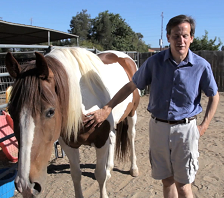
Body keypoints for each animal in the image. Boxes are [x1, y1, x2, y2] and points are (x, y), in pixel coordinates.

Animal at [5, 47, 139, 197]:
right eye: (11, 111)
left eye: (50, 112)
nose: (26, 186)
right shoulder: (68, 144)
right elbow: (76, 175)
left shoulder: (101, 141)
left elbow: (100, 175)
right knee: (113, 137)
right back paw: (110, 168)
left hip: (132, 113)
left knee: (131, 135)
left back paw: (133, 168)